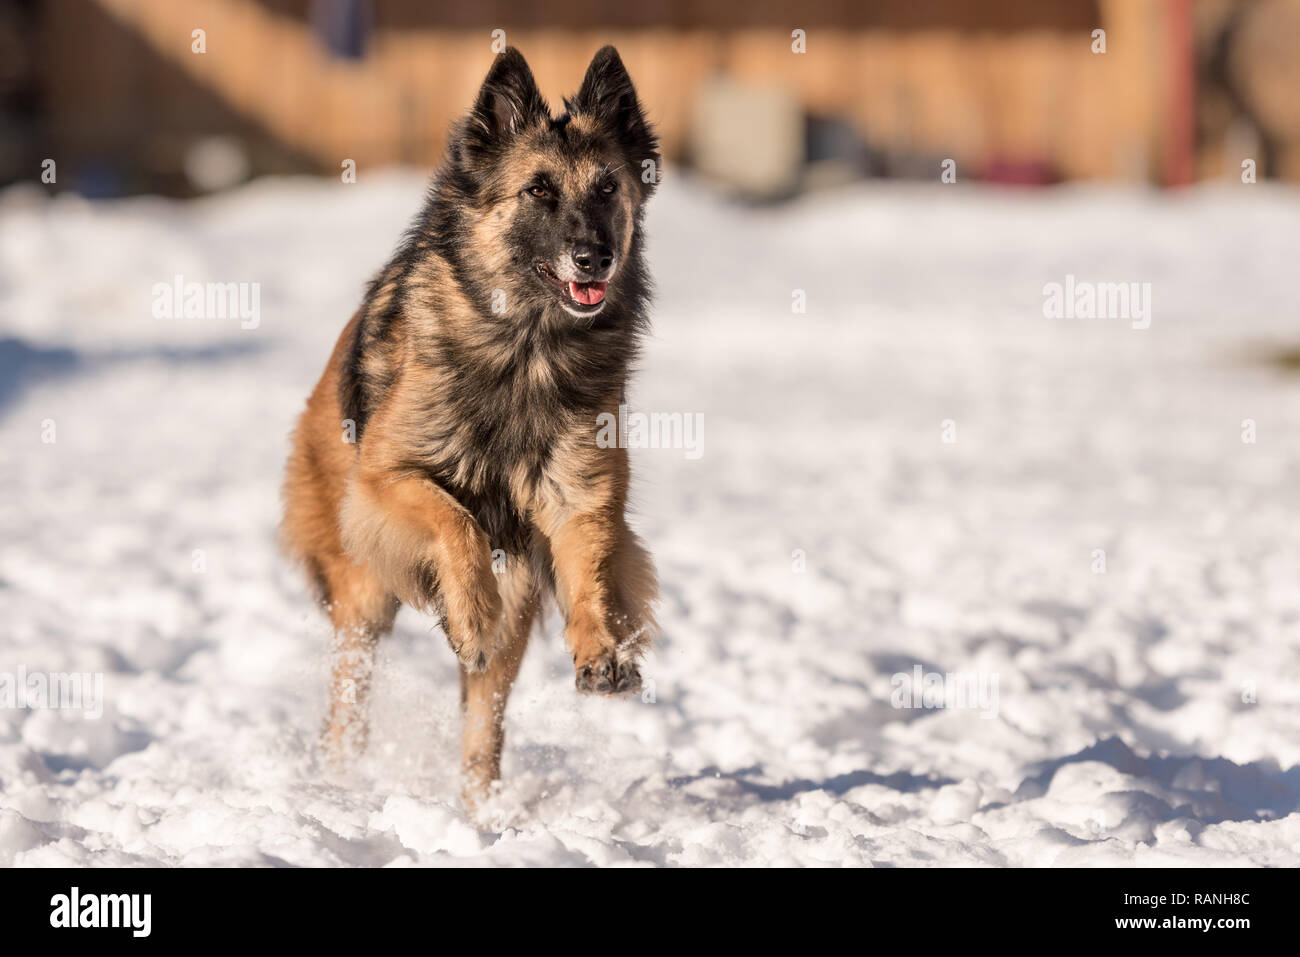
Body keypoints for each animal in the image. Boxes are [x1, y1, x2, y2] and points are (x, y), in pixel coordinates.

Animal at [278, 44, 655, 806]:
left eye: (608, 188)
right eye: (539, 190)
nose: (594, 257)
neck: (528, 348)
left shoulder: (579, 496)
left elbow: (592, 570)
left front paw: (600, 649)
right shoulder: (386, 479)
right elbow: (454, 522)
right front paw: (469, 612)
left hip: (514, 605)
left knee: (485, 721)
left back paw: (480, 813)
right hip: (362, 591)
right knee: (349, 698)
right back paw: (341, 781)